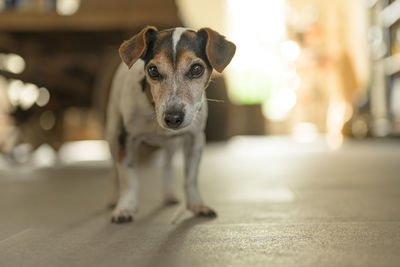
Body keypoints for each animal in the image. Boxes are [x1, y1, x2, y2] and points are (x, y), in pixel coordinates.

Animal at [106, 26, 236, 224]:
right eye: (153, 70)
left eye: (196, 69)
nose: (173, 117)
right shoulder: (126, 139)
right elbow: (128, 177)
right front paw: (125, 207)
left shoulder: (195, 140)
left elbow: (190, 178)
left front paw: (197, 205)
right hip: (113, 135)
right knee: (114, 170)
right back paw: (114, 198)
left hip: (172, 145)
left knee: (167, 166)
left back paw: (168, 195)